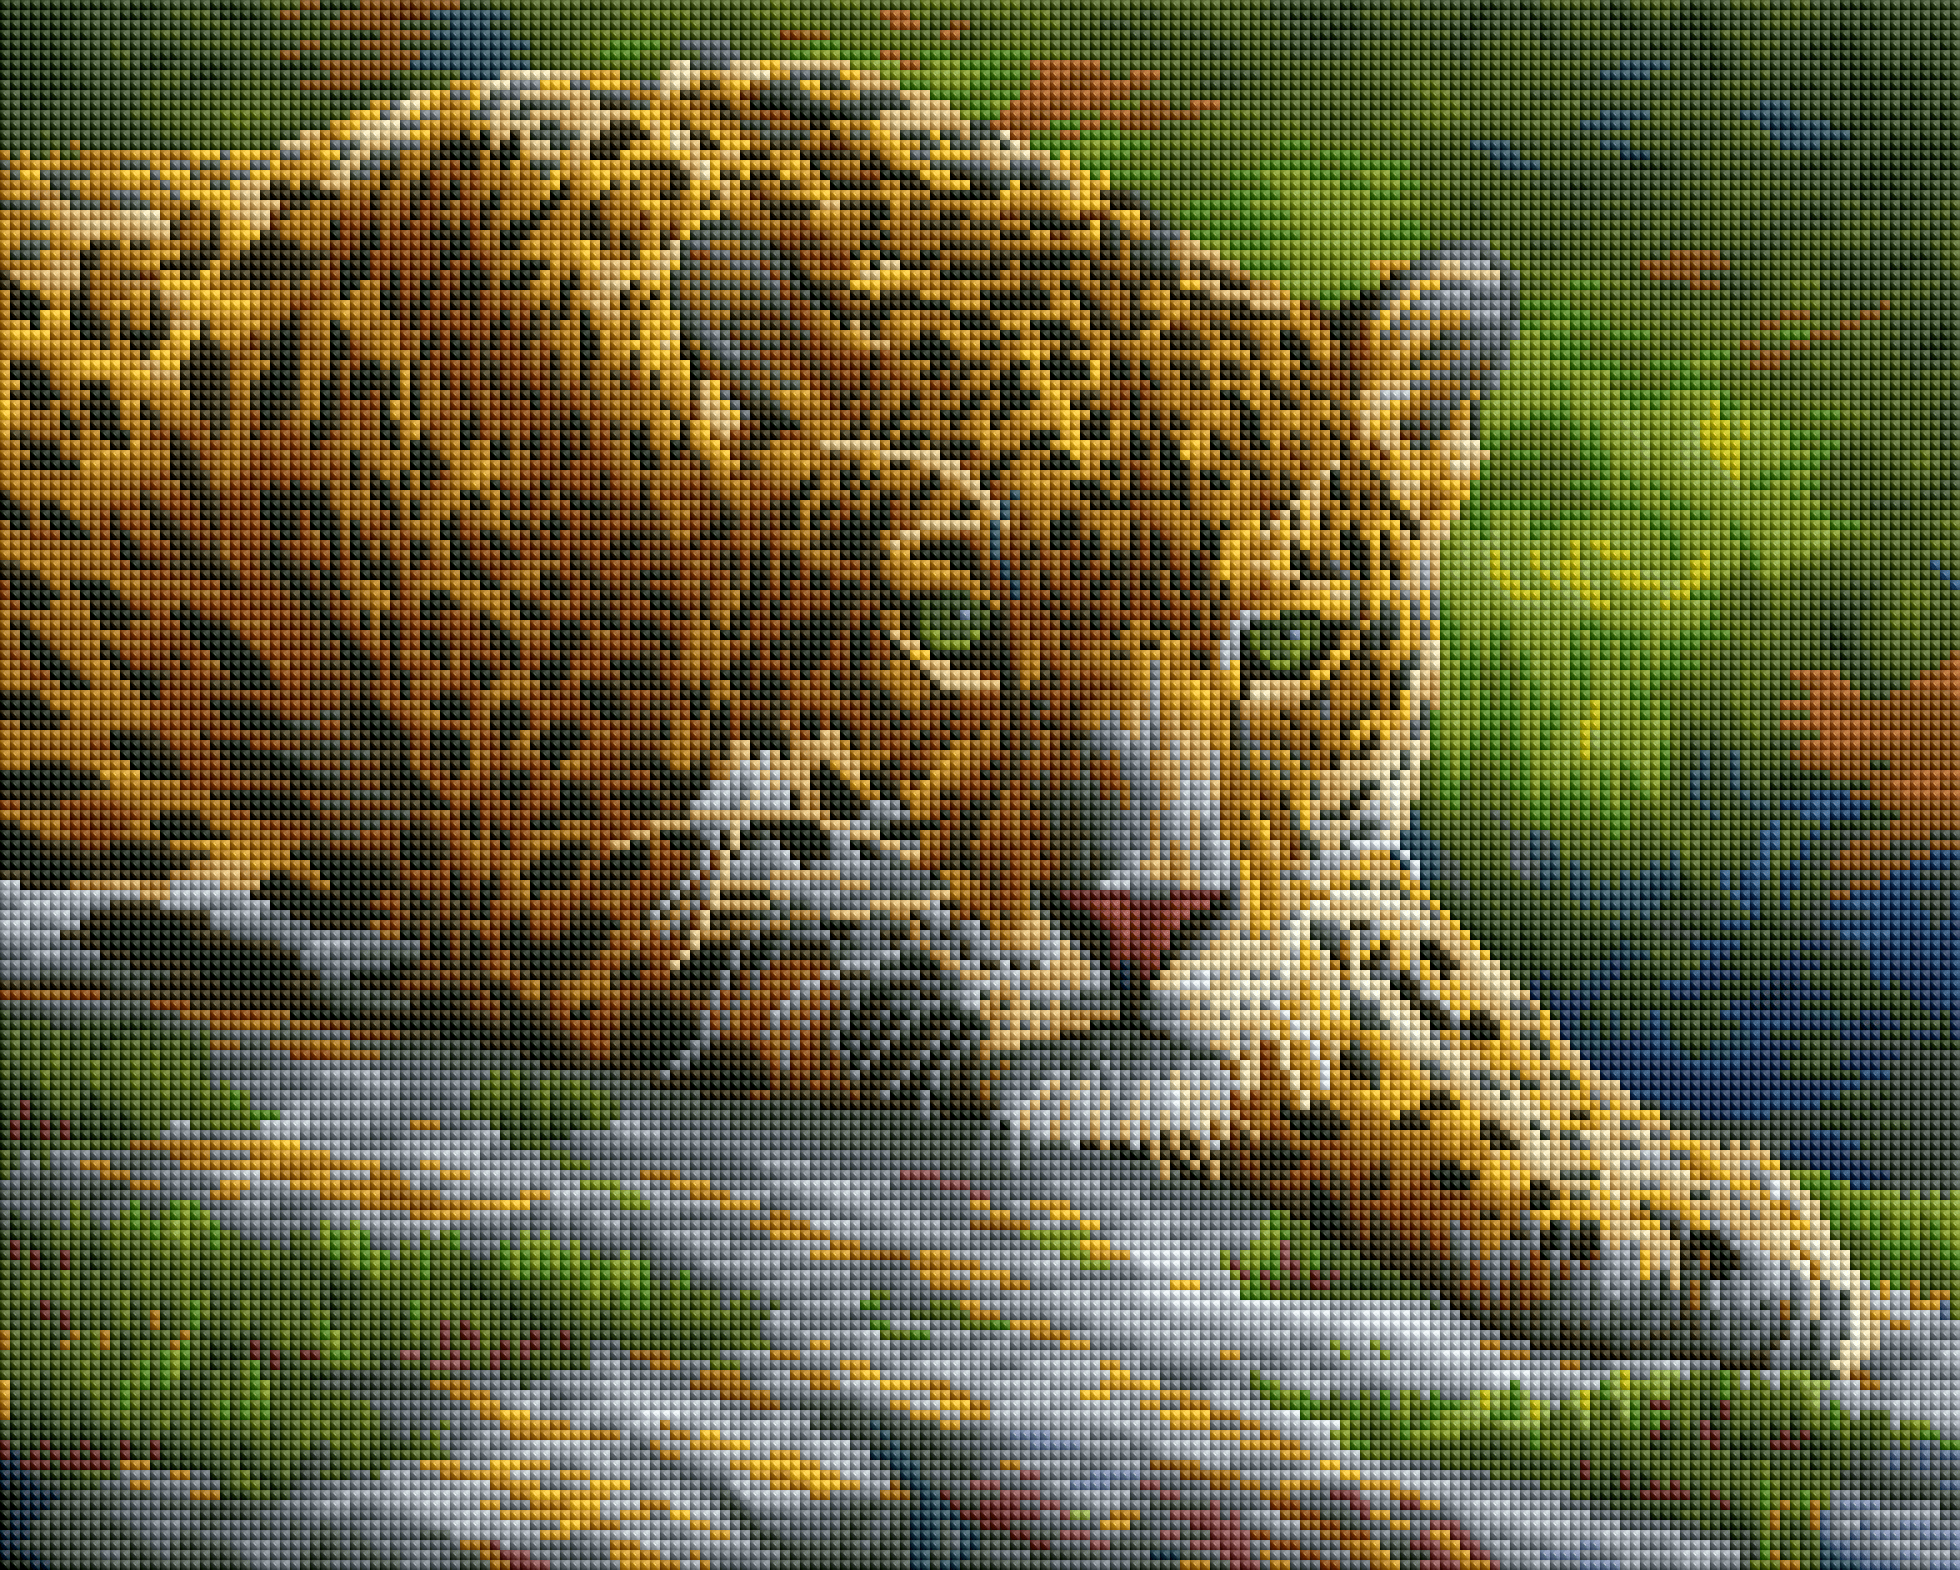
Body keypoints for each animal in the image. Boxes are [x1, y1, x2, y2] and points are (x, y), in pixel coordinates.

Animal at [0, 46, 1884, 1379]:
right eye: (957, 627)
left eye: (1283, 644)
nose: (1142, 913)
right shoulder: (645, 896)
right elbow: (1277, 1033)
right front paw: (1642, 1222)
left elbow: (1425, 964)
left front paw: (1716, 1191)